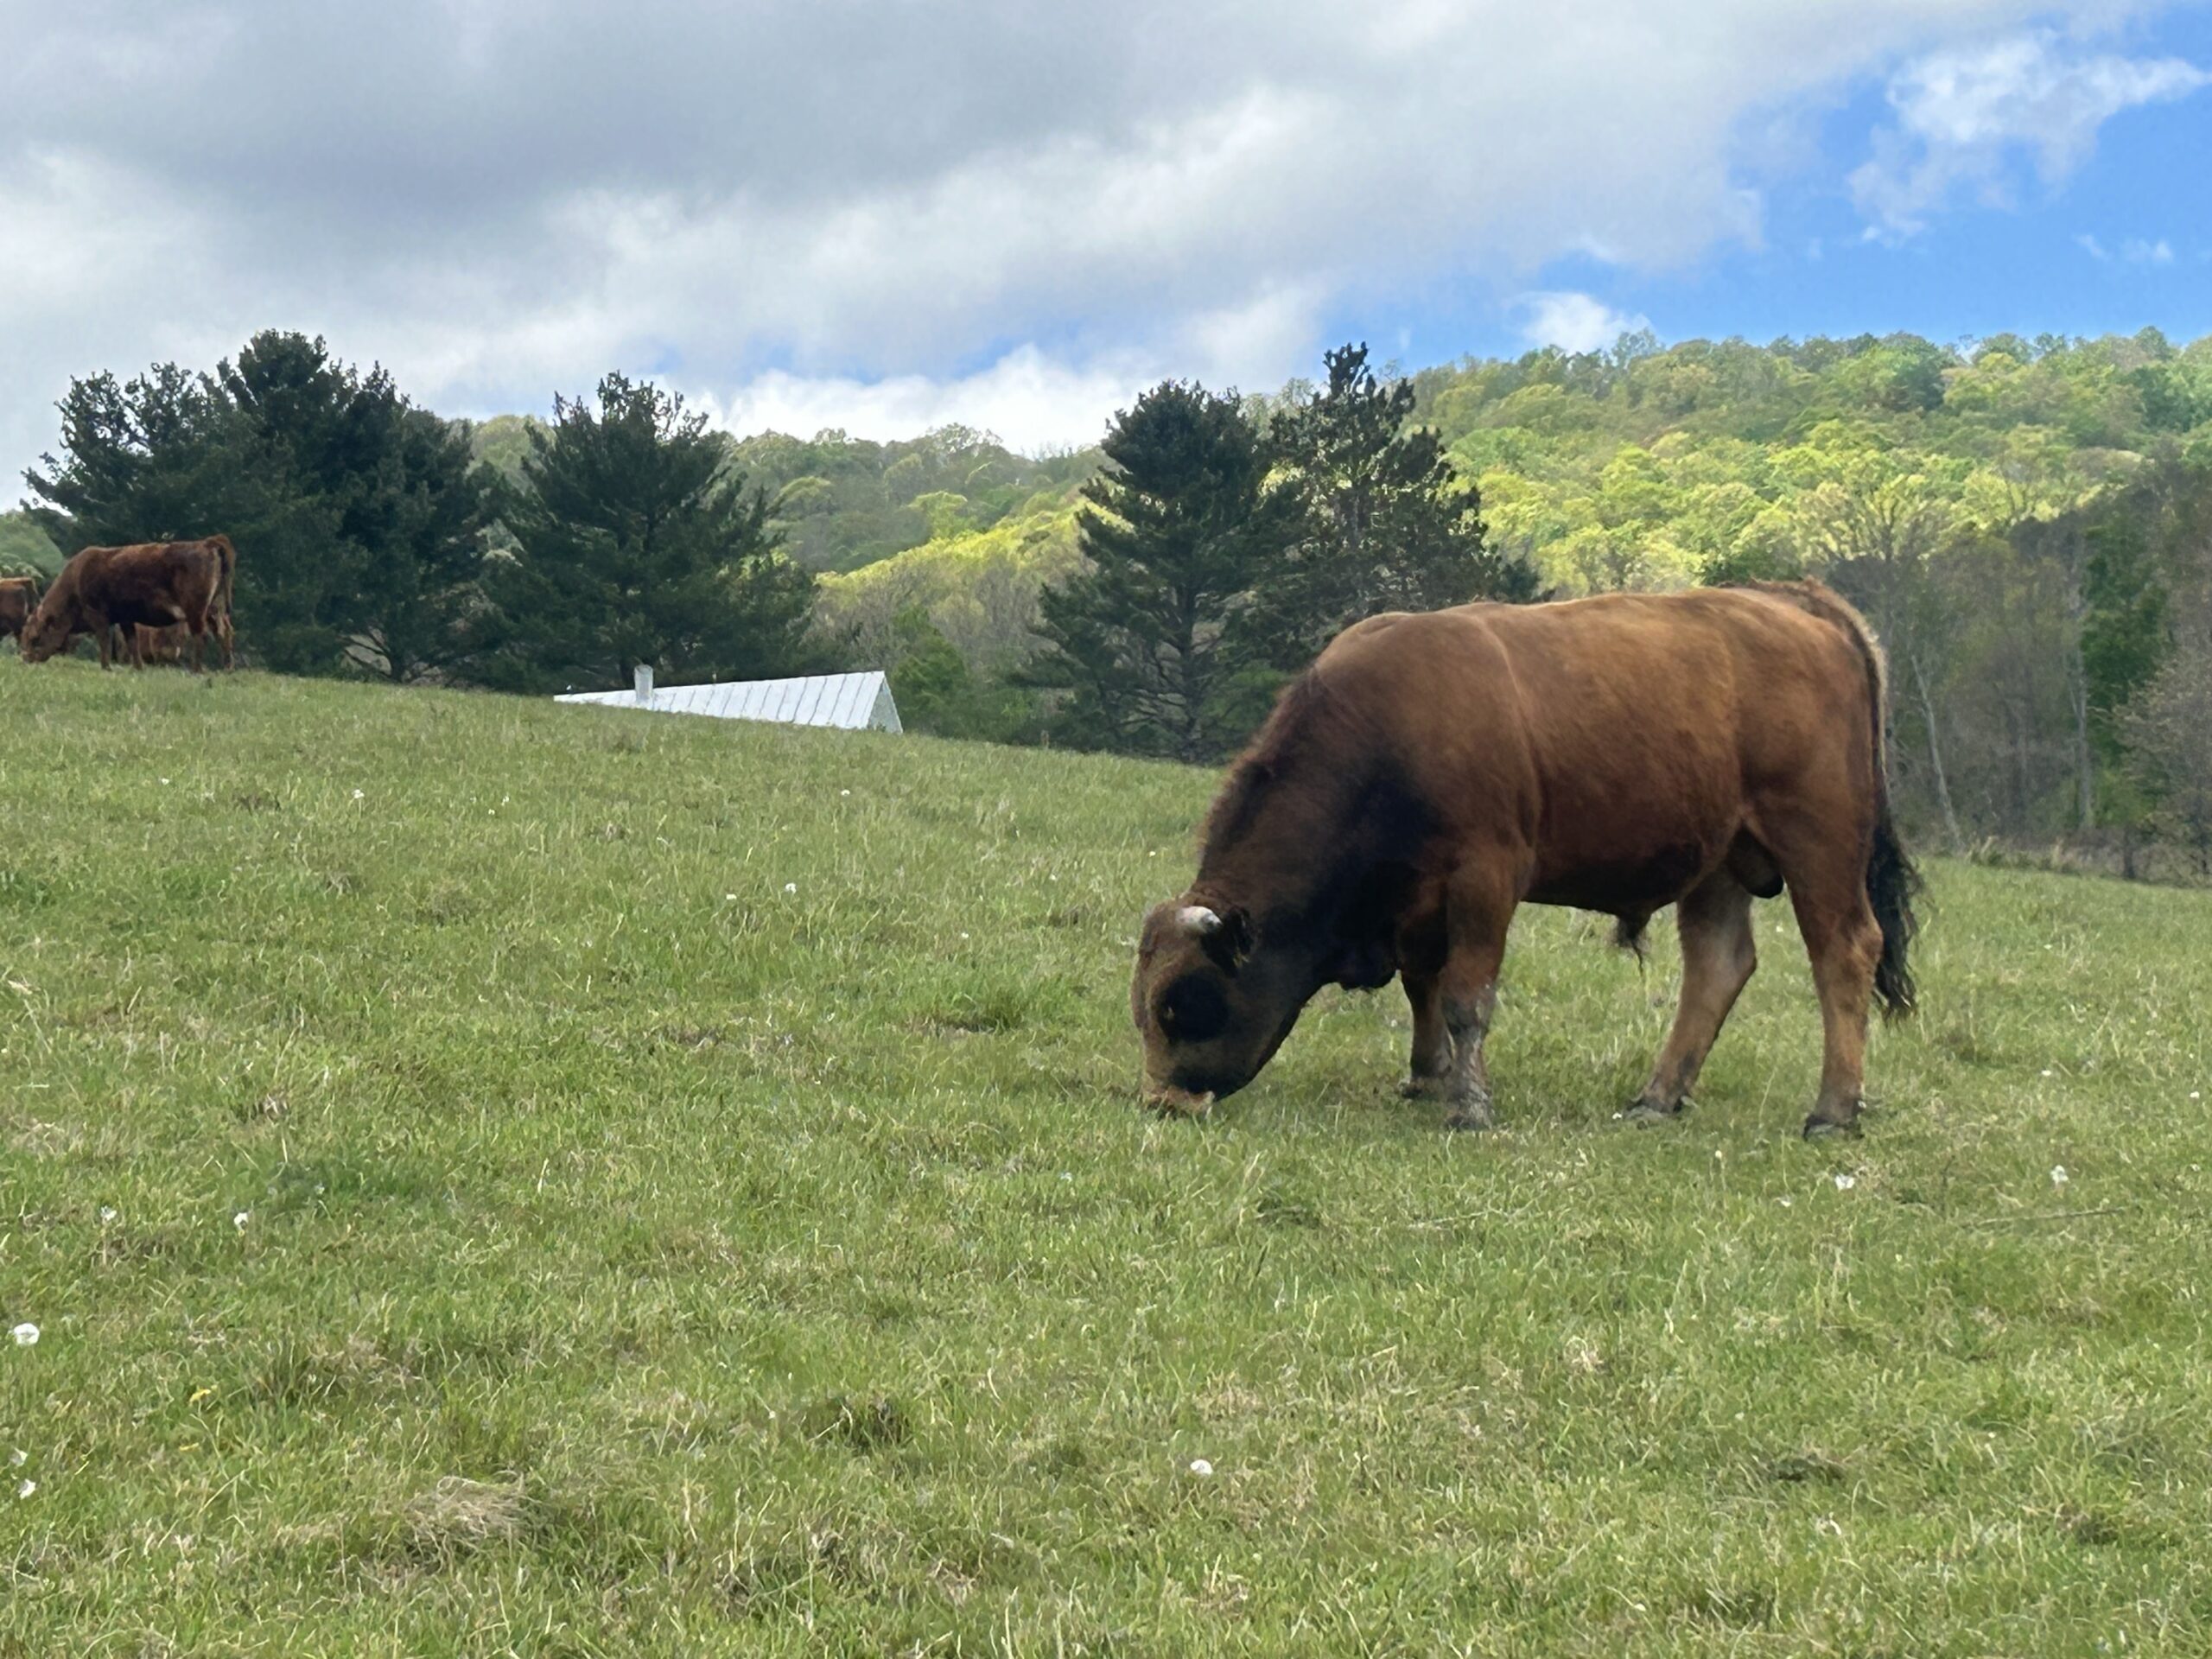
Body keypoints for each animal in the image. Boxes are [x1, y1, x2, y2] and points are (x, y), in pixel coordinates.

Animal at [19, 538, 237, 672]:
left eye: (35, 637)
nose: (25, 658)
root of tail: (207, 543)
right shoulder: (126, 619)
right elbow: (132, 642)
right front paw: (138, 667)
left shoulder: (98, 615)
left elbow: (104, 640)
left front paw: (106, 667)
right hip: (214, 610)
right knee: (223, 632)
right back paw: (227, 668)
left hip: (196, 610)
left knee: (201, 635)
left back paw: (196, 669)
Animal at [1130, 581, 1922, 1140]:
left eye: (1180, 1004)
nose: (1163, 1101)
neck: (1390, 730)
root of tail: (1791, 599)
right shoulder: (1418, 905)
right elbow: (1424, 986)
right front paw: (1428, 1077)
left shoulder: (1486, 878)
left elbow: (1466, 997)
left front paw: (1470, 1104)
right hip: (1719, 861)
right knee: (1719, 967)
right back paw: (1658, 1096)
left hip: (1817, 842)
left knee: (1845, 951)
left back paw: (1832, 1111)